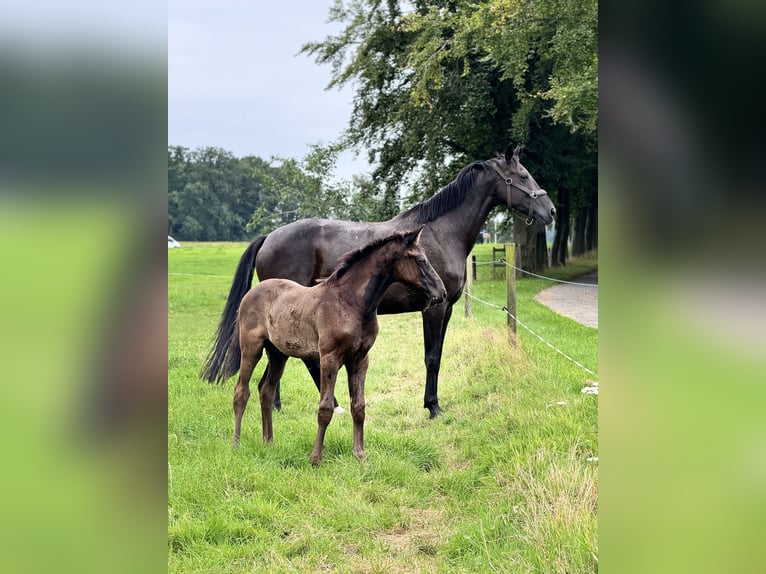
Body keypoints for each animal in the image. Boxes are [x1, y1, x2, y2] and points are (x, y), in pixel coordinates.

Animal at [201, 145, 556, 418]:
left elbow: (438, 356)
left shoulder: (448, 308)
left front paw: (434, 404)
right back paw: (327, 405)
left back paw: (281, 404)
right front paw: (432, 407)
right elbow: (431, 357)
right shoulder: (433, 309)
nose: (551, 211)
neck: (441, 233)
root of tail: (269, 237)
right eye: (523, 176)